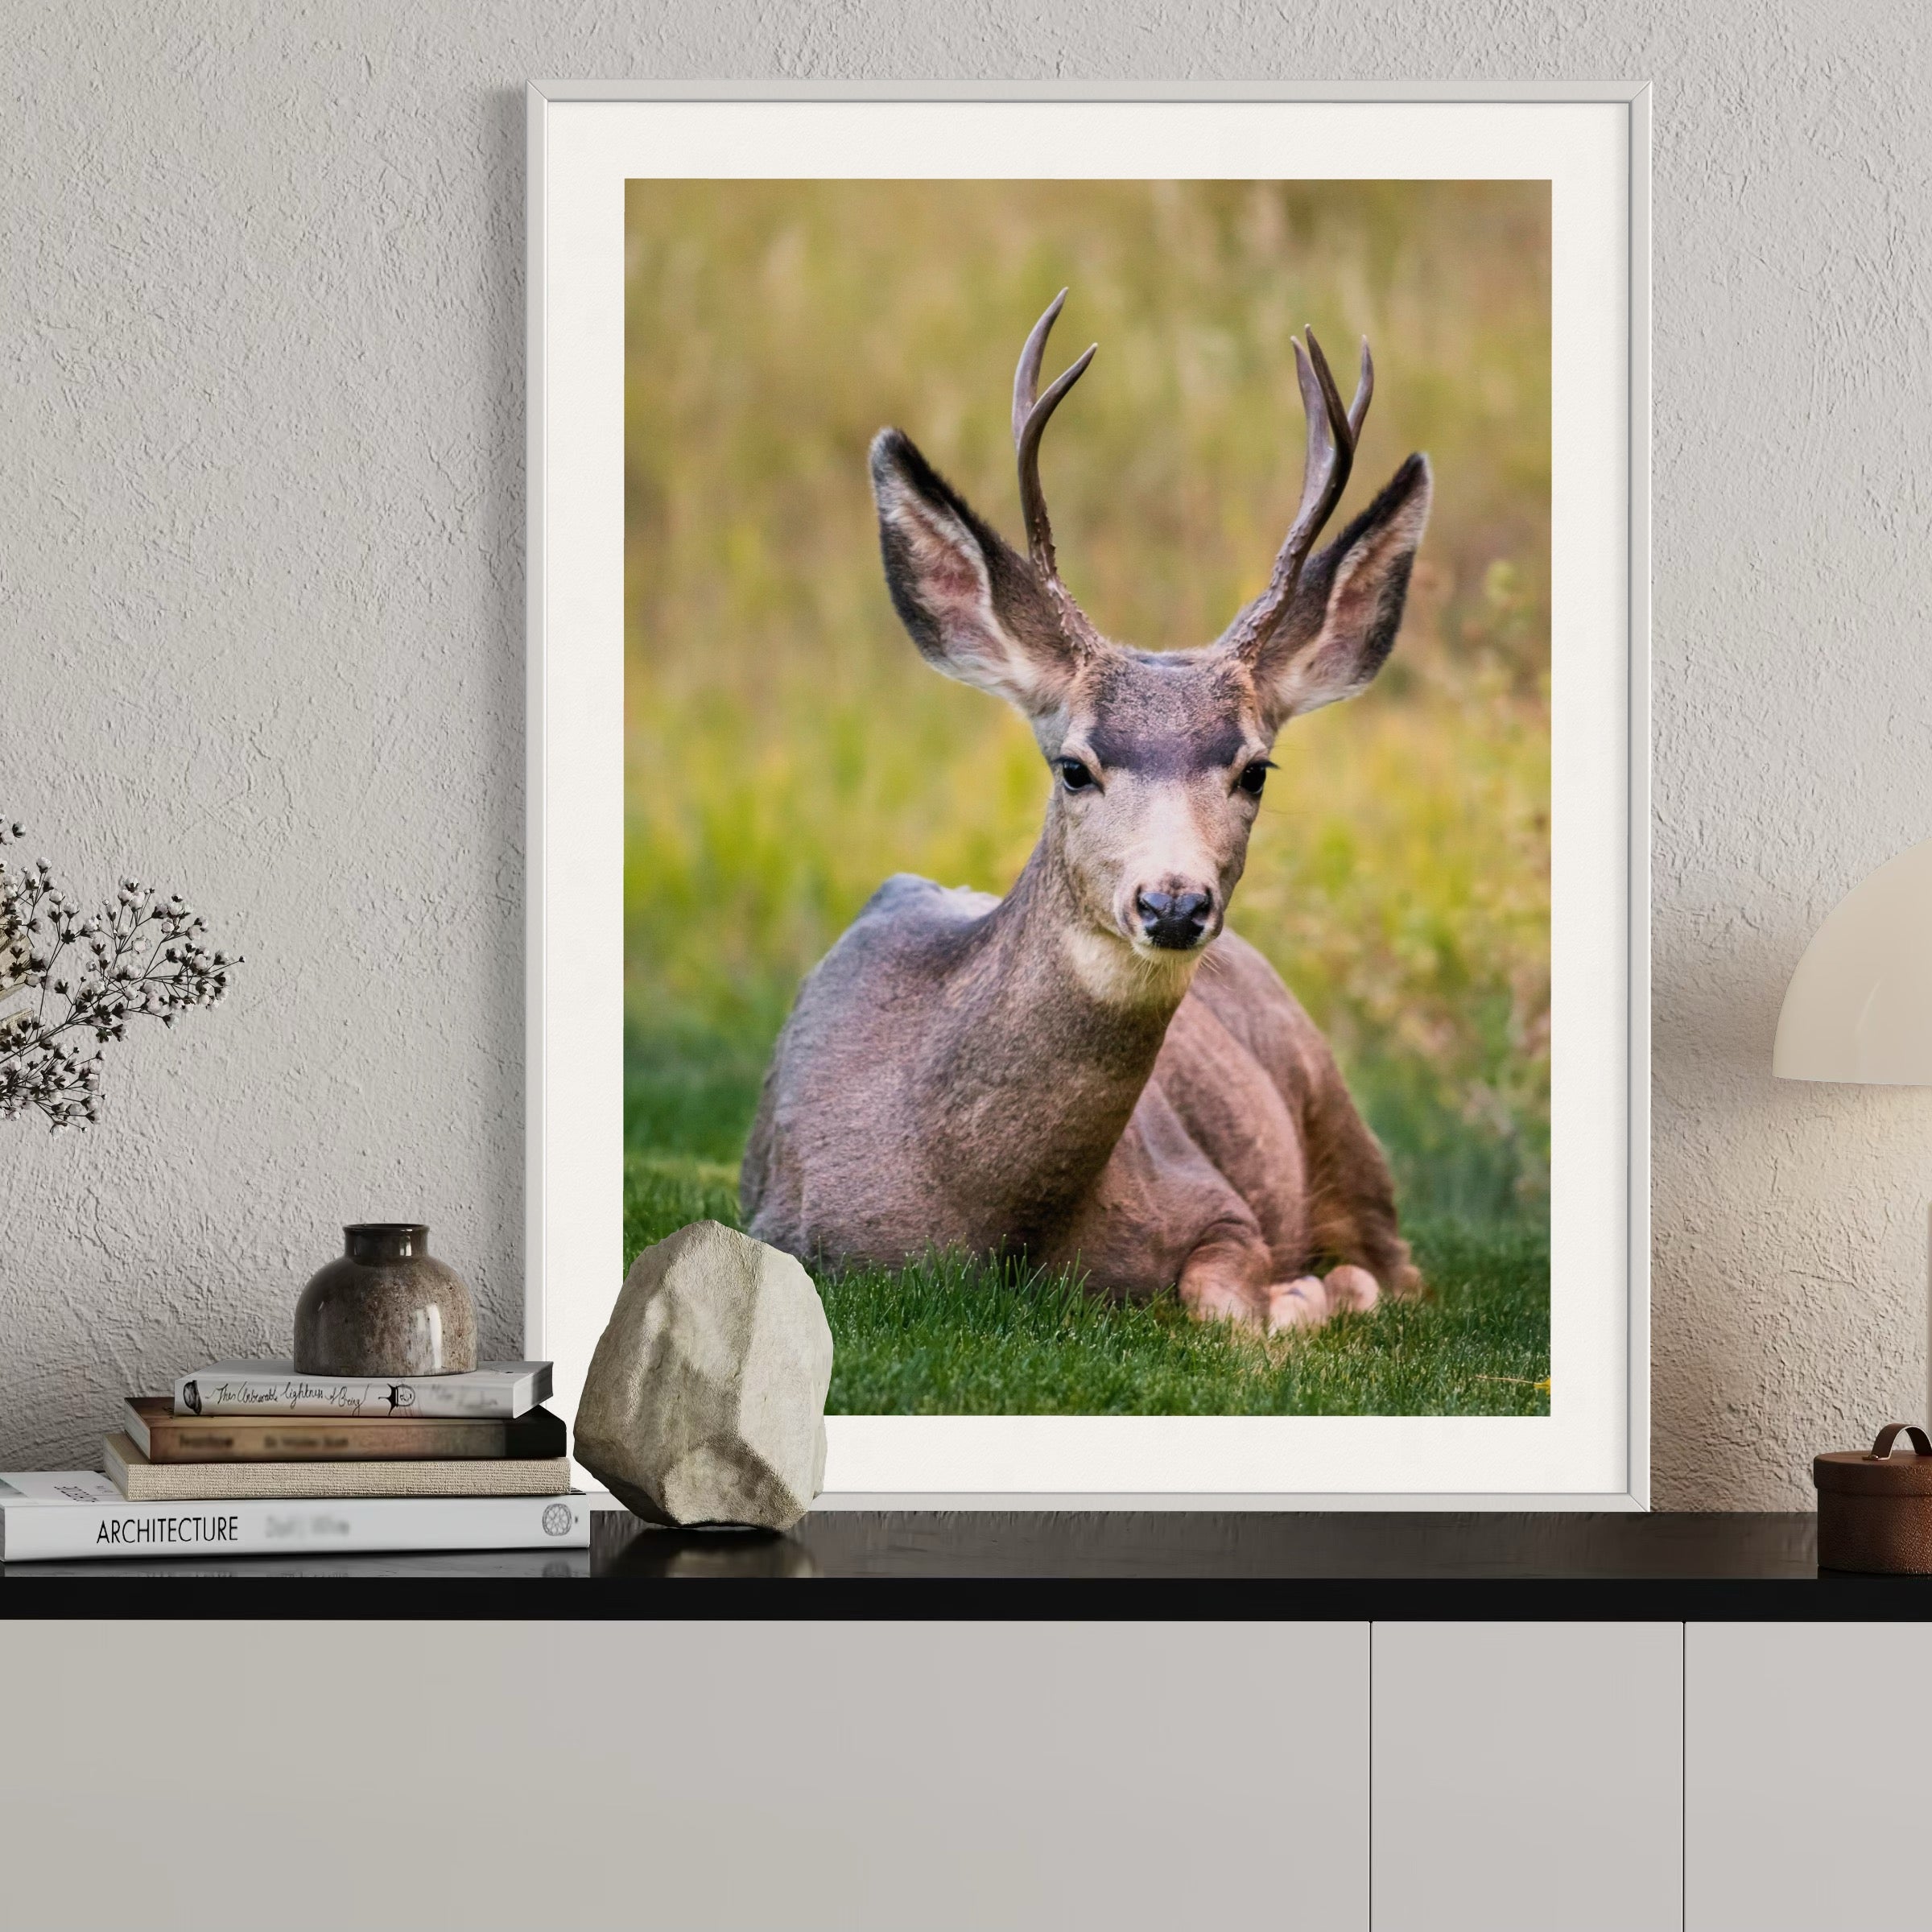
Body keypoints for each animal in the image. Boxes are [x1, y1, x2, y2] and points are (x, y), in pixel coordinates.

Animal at [740, 291, 1432, 1334]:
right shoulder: (786, 1229)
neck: (991, 1226)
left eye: (1256, 771)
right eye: (1074, 767)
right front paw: (1306, 1296)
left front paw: (1306, 1295)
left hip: (1334, 1109)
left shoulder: (1215, 1200)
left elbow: (1226, 1299)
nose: (1174, 904)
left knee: (1404, 1265)